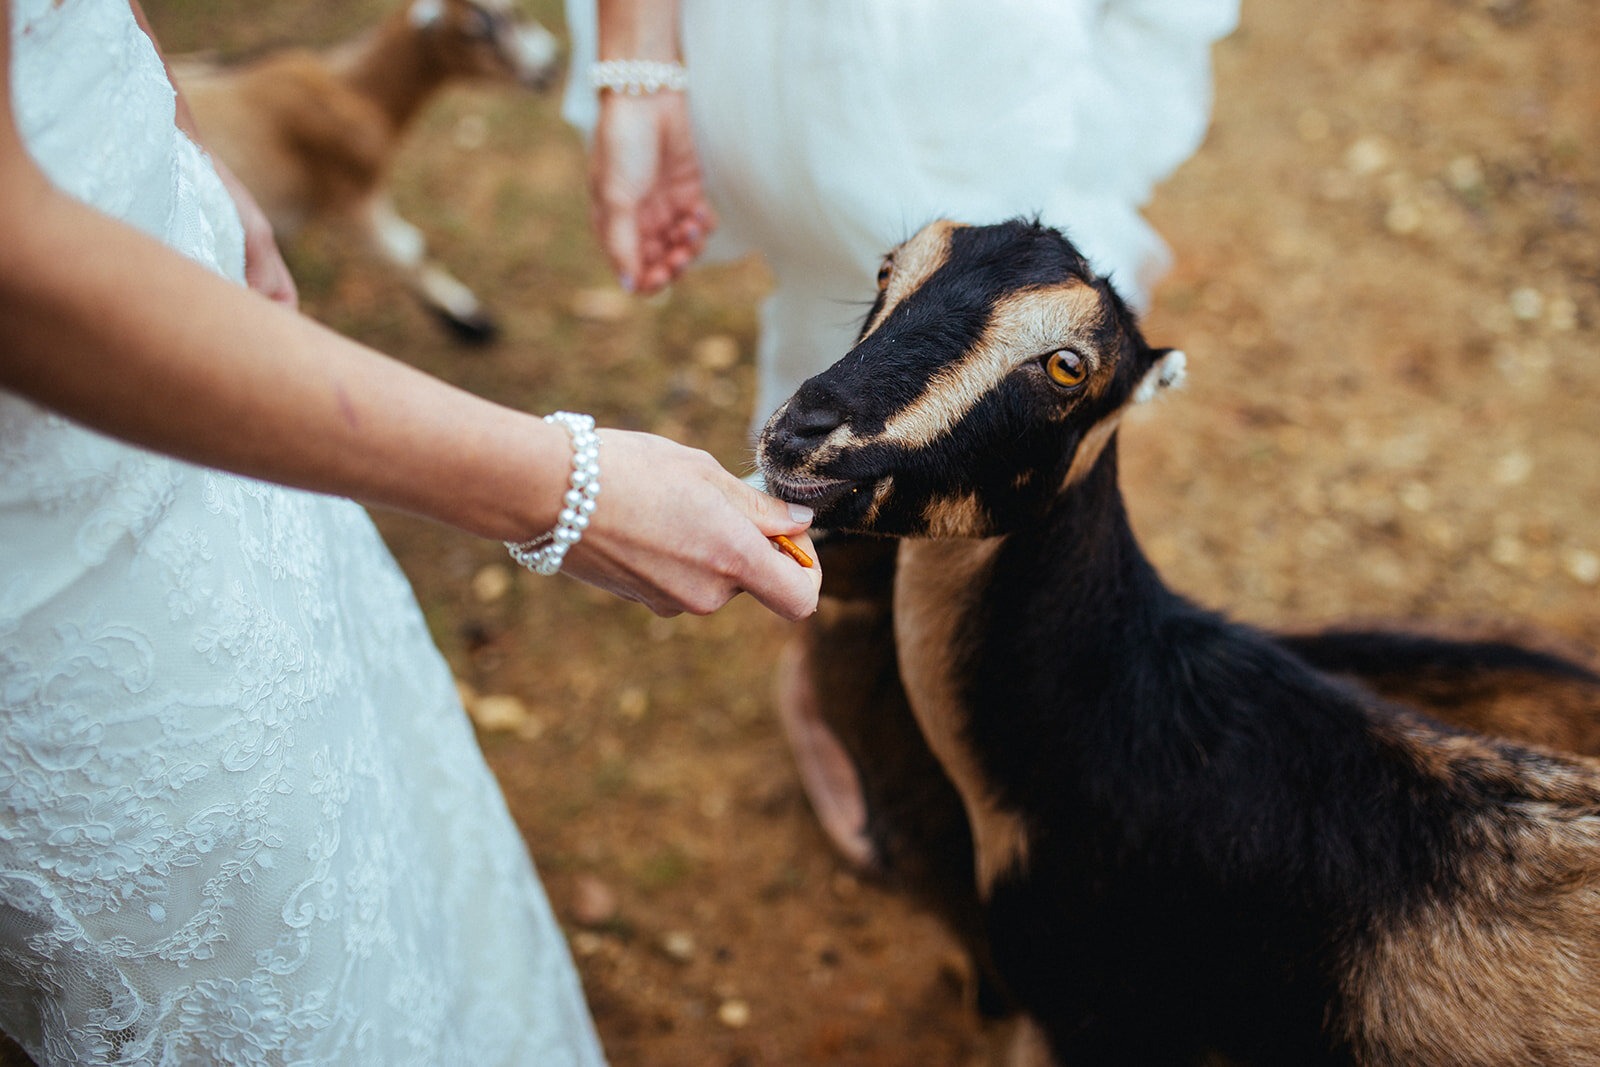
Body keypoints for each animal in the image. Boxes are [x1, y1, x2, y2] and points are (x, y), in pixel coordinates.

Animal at [173, 0, 563, 342]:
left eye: (517, 10)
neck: (356, 93)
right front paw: (468, 320)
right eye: (474, 30)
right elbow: (411, 250)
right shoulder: (352, 195)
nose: (549, 65)